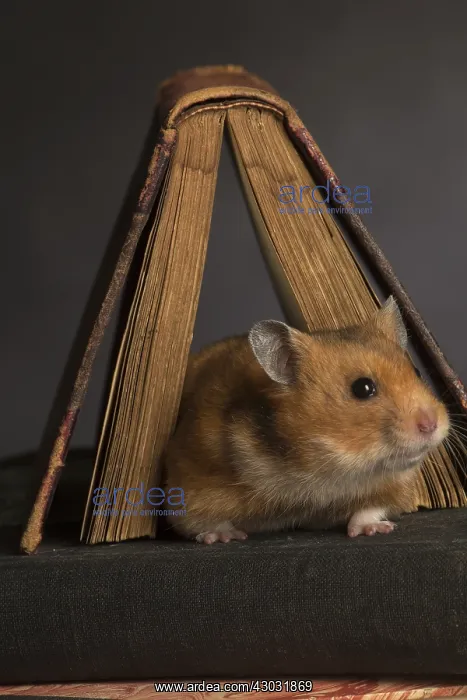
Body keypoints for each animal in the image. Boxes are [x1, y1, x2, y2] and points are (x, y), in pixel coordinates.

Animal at [164, 297, 449, 544]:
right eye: (363, 388)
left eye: (416, 372)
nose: (431, 424)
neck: (321, 467)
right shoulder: (193, 480)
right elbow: (200, 521)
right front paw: (225, 536)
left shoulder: (392, 486)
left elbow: (372, 508)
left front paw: (375, 529)